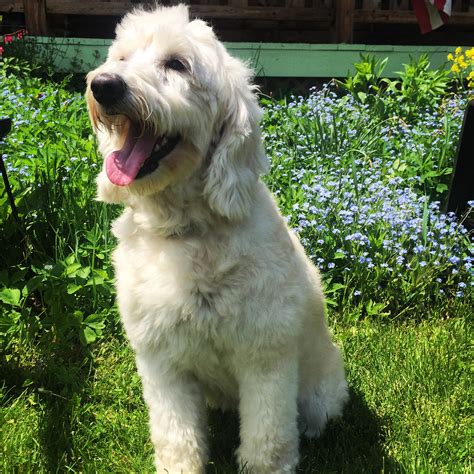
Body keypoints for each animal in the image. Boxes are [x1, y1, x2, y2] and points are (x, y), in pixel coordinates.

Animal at [86, 5, 348, 473]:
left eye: (177, 64)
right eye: (121, 57)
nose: (104, 85)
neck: (186, 232)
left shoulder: (265, 358)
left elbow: (267, 440)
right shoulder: (162, 362)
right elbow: (176, 436)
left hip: (320, 390)